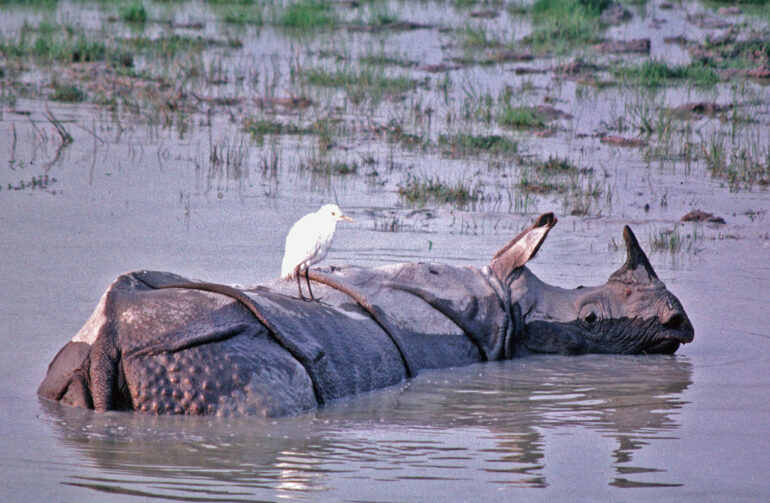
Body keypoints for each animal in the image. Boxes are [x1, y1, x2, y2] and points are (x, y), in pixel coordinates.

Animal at [38, 213, 694, 417]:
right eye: (589, 320)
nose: (678, 325)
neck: (507, 306)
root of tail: (108, 339)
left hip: (83, 359)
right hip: (213, 362)